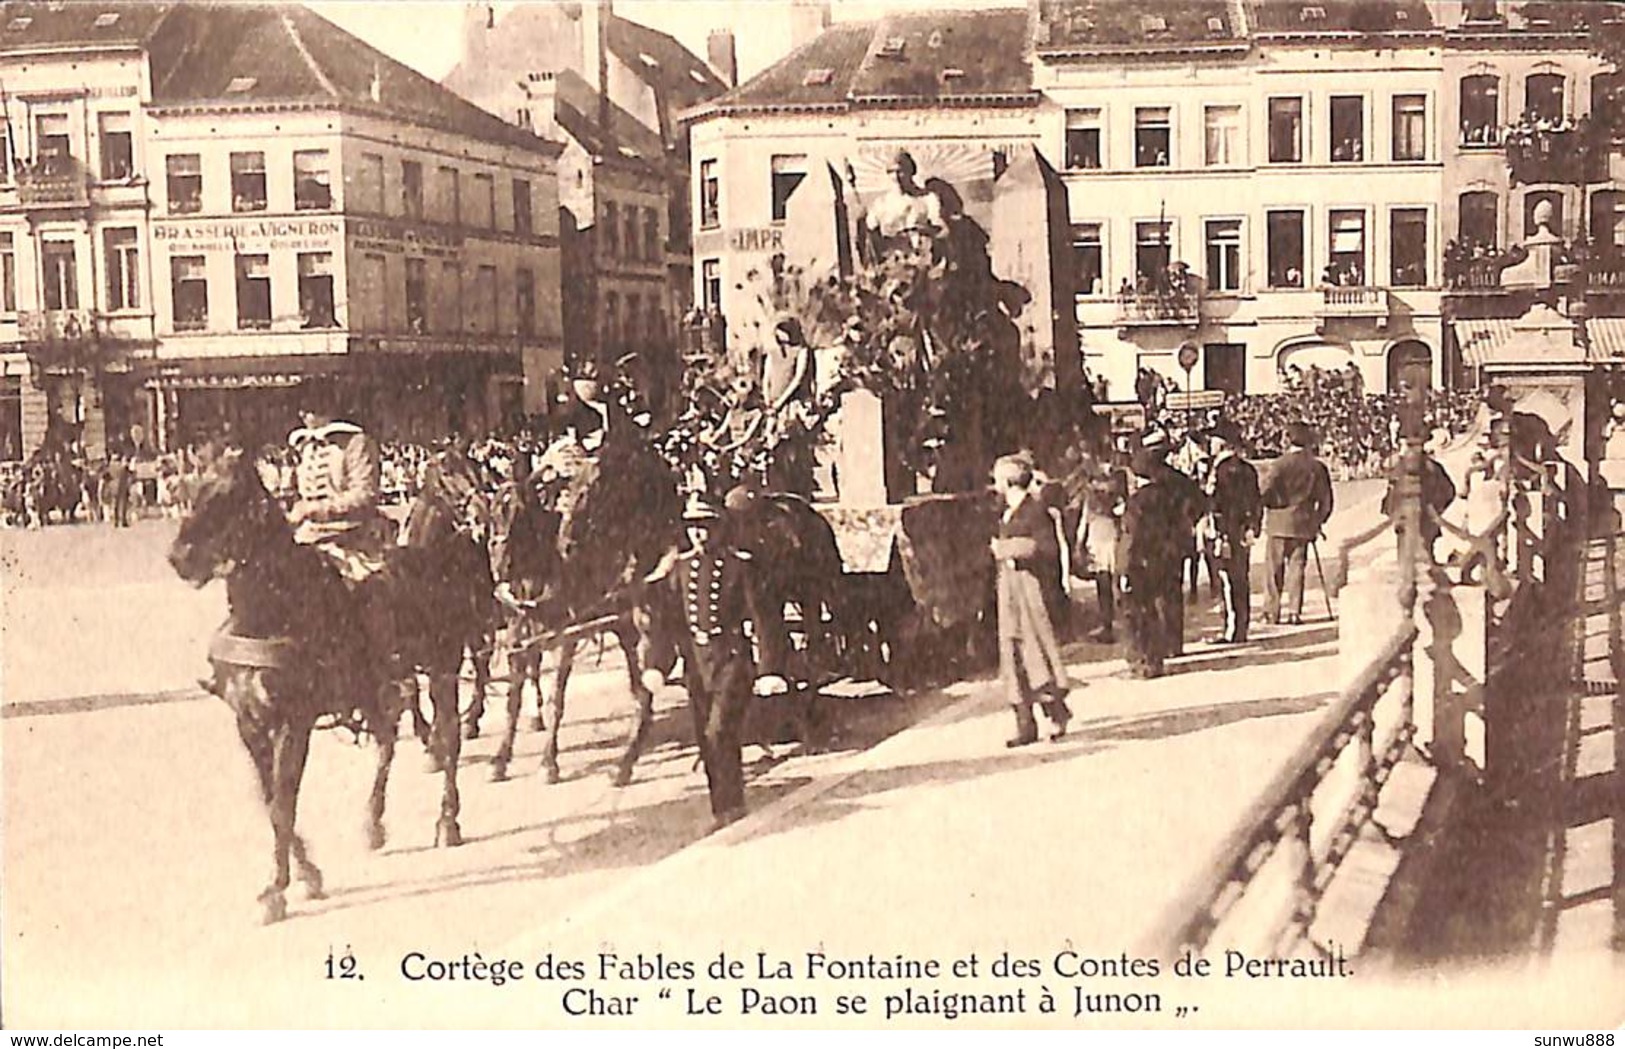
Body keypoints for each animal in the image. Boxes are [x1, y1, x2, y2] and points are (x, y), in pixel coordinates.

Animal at [166, 448, 494, 922]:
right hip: (377, 686)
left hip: (442, 667)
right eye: (192, 490)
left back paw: (447, 820)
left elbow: (283, 803)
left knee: (448, 737)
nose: (179, 557)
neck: (269, 611)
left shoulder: (294, 724)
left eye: (227, 495)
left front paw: (277, 887)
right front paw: (306, 874)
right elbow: (271, 801)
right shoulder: (249, 725)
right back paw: (373, 822)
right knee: (387, 741)